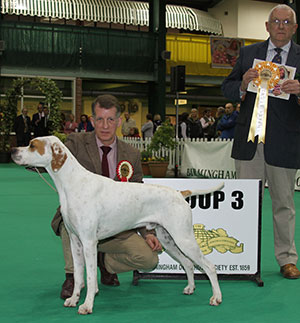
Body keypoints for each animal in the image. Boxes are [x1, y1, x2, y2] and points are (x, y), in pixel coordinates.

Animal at [11, 137, 223, 316]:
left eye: (32, 145)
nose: (13, 150)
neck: (72, 184)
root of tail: (180, 193)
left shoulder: (88, 242)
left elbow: (89, 277)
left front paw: (87, 305)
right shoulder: (75, 242)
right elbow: (79, 276)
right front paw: (73, 299)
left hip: (183, 238)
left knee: (209, 266)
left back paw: (216, 297)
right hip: (168, 240)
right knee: (188, 263)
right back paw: (190, 288)